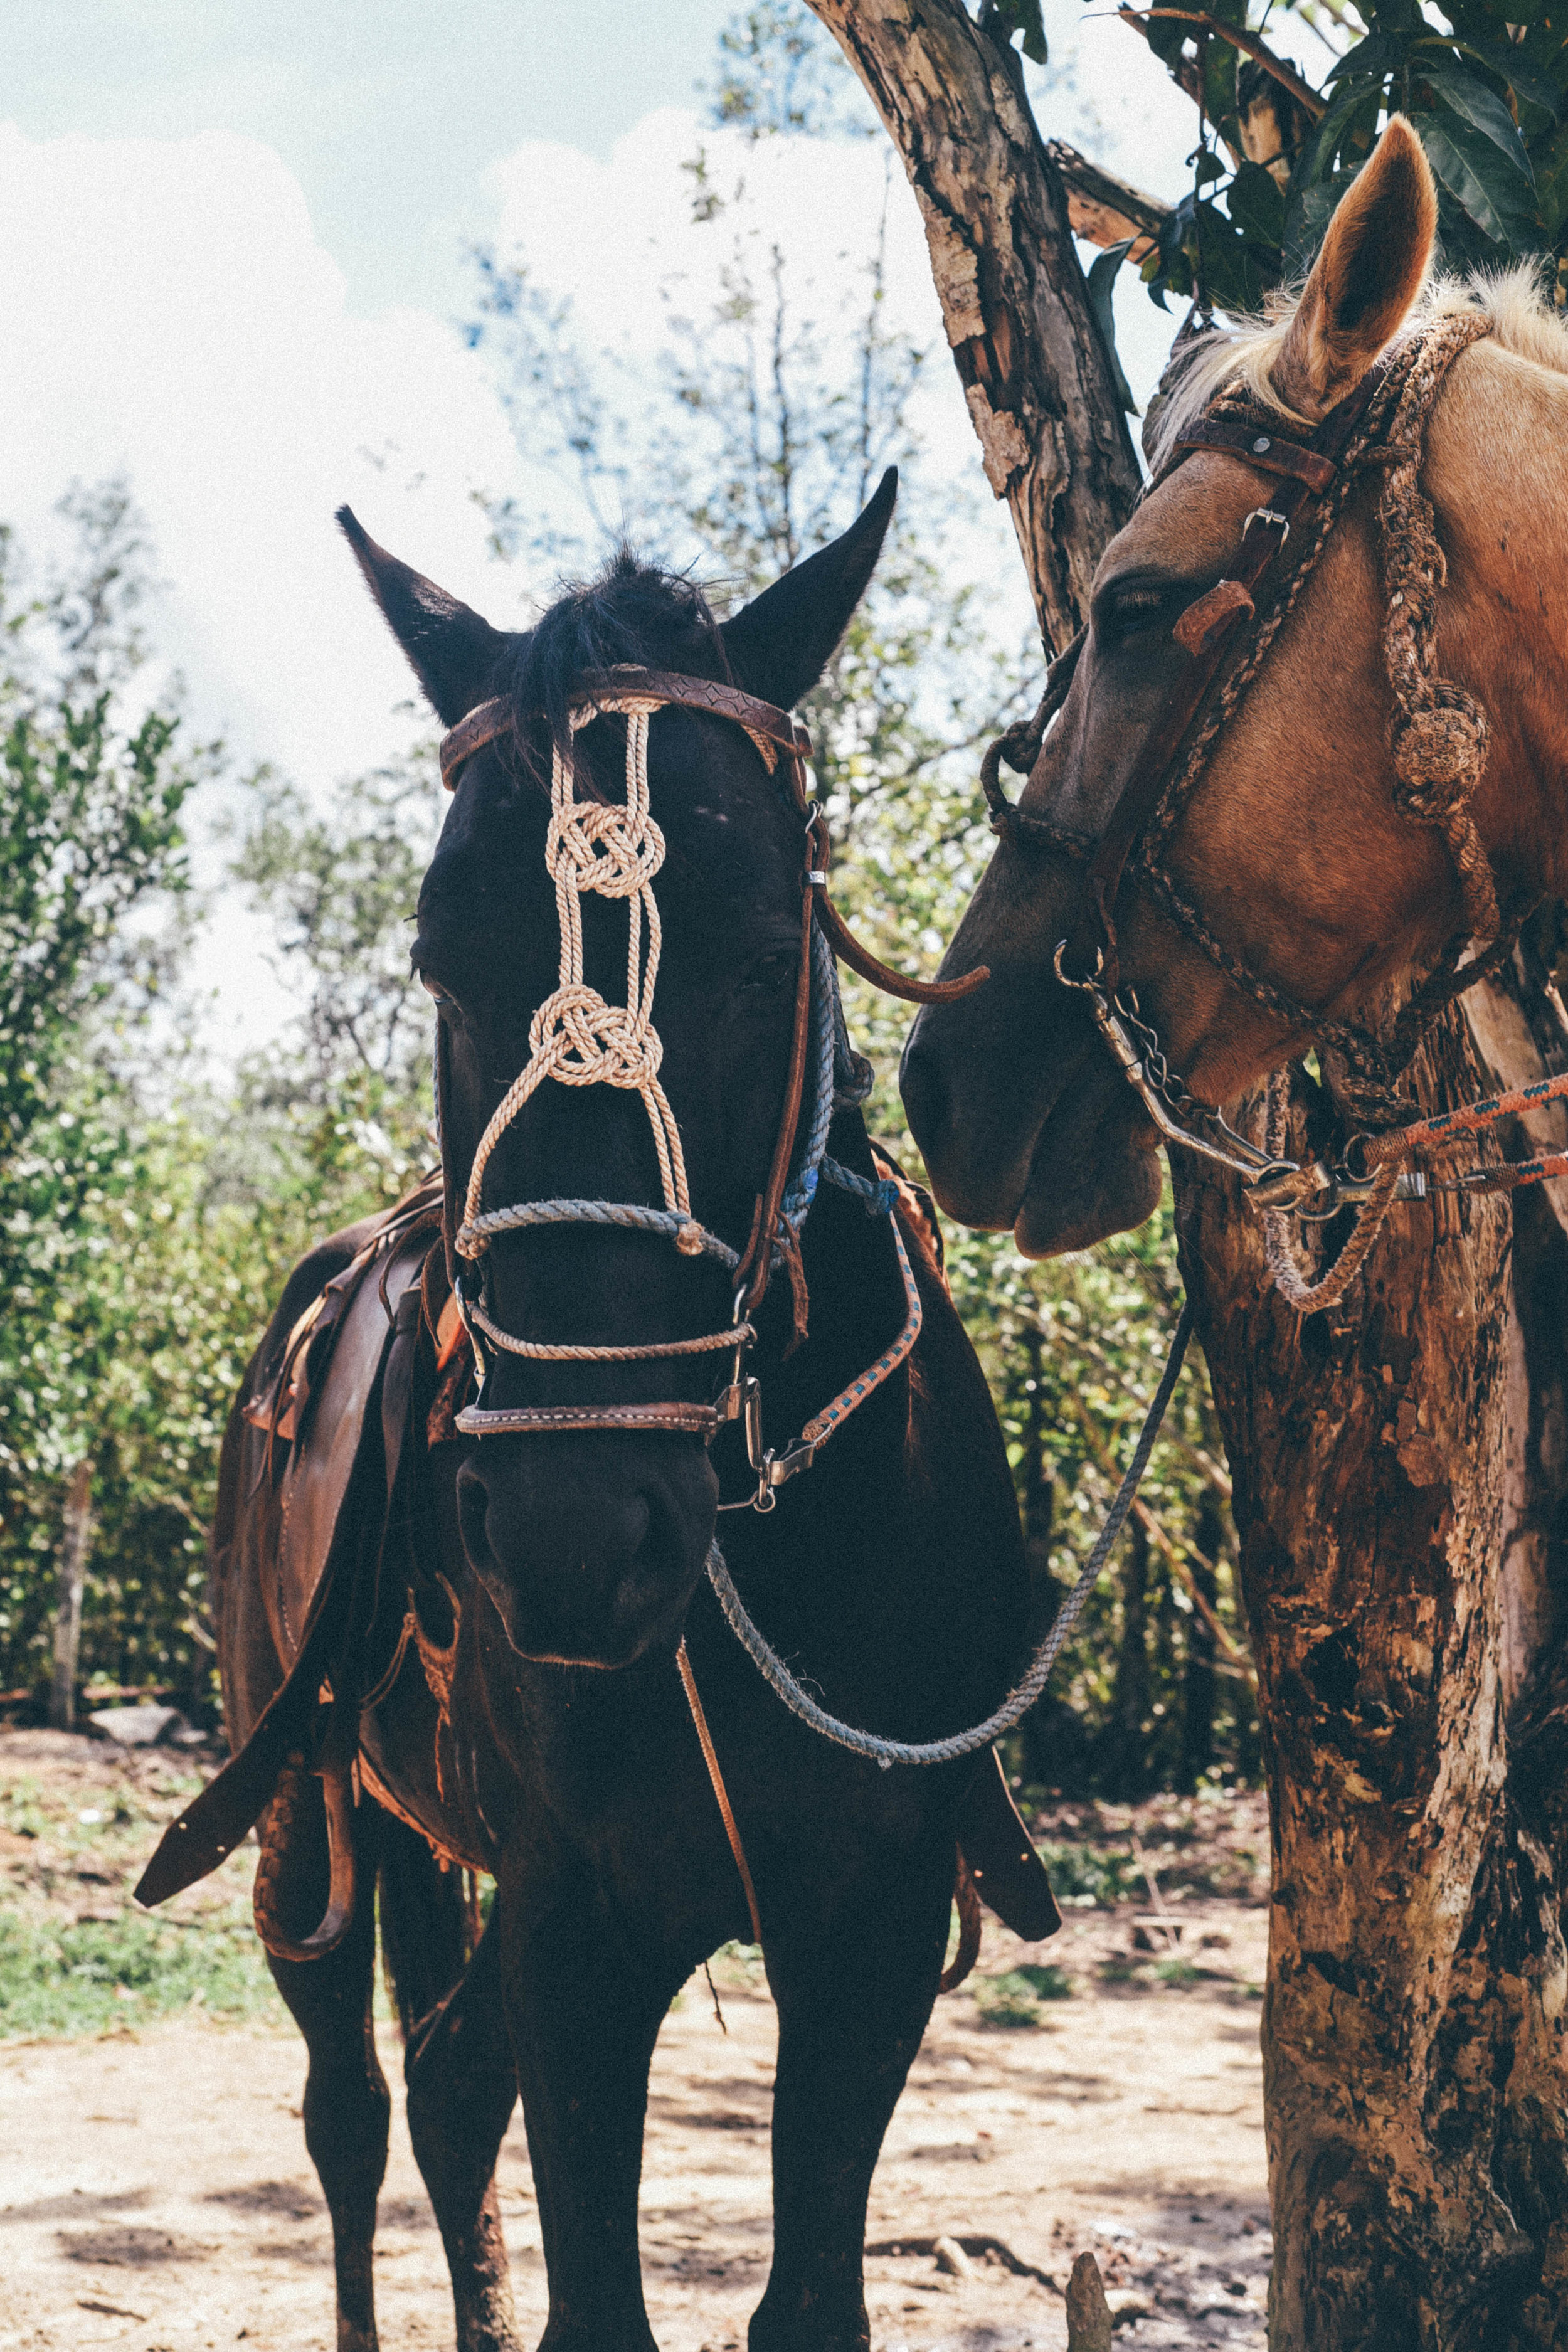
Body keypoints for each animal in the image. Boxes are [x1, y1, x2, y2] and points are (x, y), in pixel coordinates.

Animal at [144, 482, 1053, 2352]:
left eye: (769, 953)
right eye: (437, 955)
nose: (573, 1544)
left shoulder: (868, 1933)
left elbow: (808, 2294)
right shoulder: (582, 1927)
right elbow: (592, 2285)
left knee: (443, 2082)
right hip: (302, 1811)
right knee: (356, 2101)